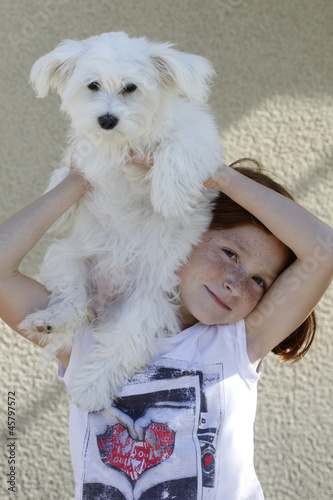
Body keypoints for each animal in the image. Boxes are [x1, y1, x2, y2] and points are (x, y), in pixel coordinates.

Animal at [21, 33, 223, 412]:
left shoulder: (198, 140)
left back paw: (90, 388)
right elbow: (70, 168)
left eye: (131, 88)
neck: (124, 143)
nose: (106, 119)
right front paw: (58, 195)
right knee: (73, 304)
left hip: (144, 306)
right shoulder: (87, 157)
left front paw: (169, 196)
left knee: (121, 347)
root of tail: (105, 302)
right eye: (93, 85)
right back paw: (50, 323)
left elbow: (177, 148)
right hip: (66, 259)